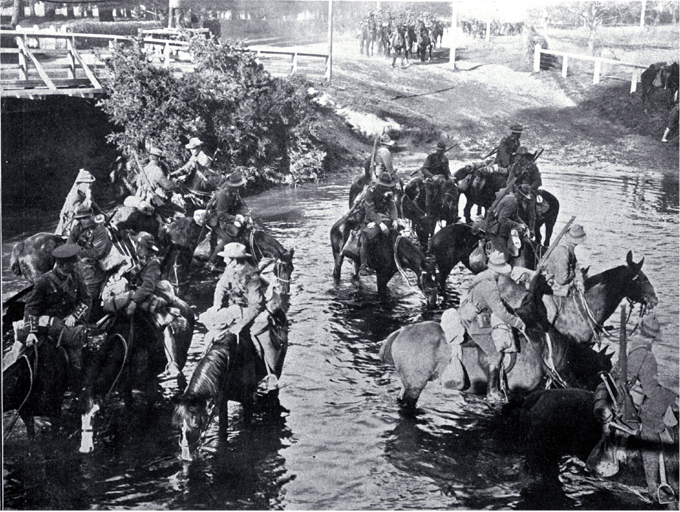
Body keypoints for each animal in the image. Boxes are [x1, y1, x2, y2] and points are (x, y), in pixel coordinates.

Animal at [77, 302, 194, 454]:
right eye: (80, 412)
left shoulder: (148, 377)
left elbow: (149, 404)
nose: (85, 448)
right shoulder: (126, 383)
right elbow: (129, 405)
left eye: (96, 413)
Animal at [171, 250, 294, 462]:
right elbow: (222, 433)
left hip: (277, 366)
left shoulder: (247, 402)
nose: (187, 456)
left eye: (196, 423)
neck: (230, 361)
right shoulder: (222, 402)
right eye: (178, 425)